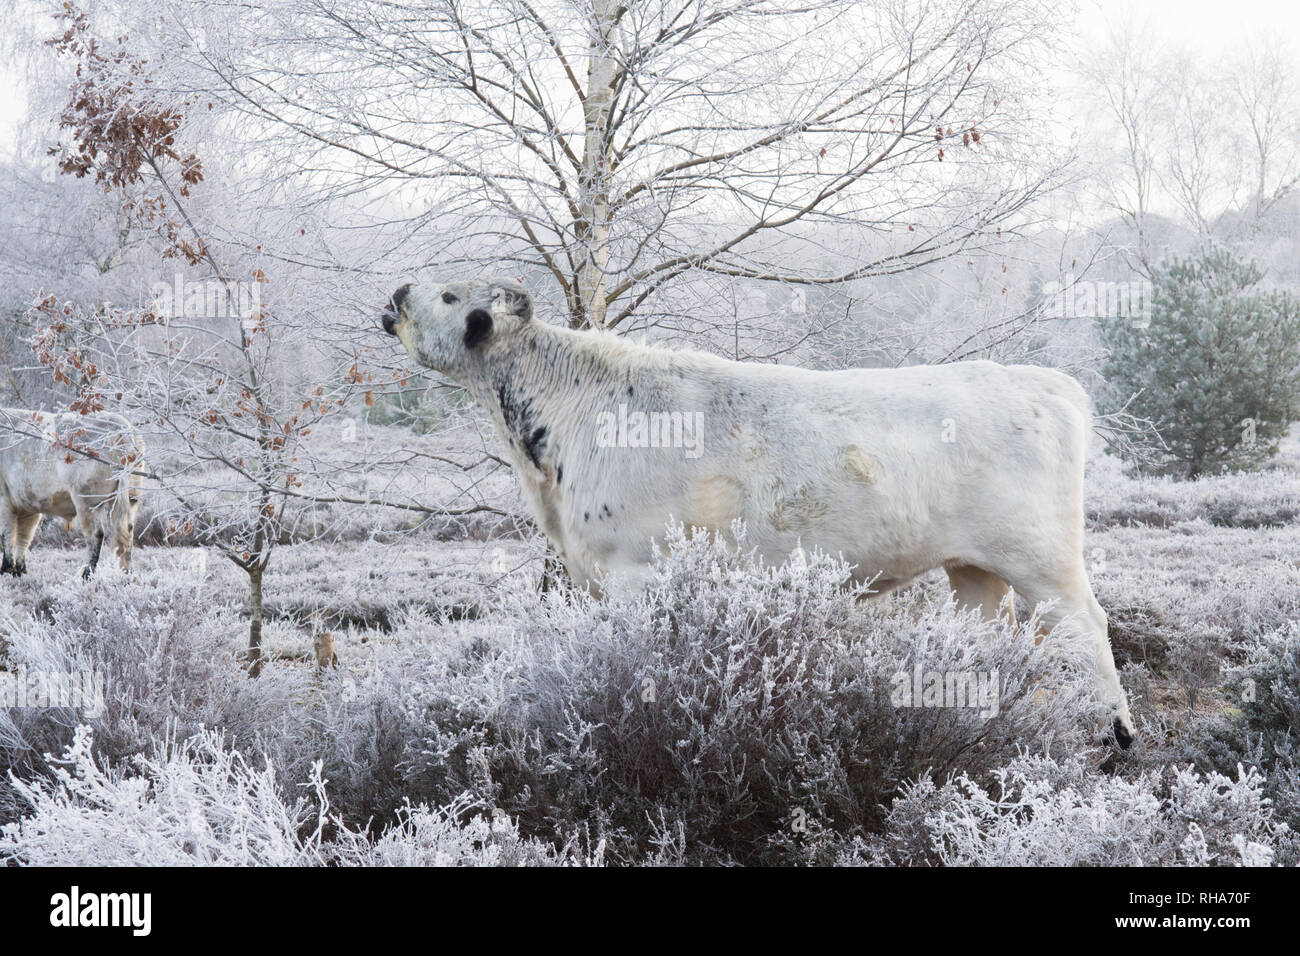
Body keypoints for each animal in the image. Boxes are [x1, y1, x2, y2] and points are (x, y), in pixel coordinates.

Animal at [0, 409, 145, 579]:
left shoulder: (4, 499)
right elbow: (24, 536)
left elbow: (7, 534)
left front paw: (6, 571)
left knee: (96, 534)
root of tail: (120, 424)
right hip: (130, 497)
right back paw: (127, 573)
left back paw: (87, 574)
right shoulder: (28, 504)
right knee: (126, 530)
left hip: (87, 500)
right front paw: (19, 571)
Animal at [380, 278, 1136, 748]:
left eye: (449, 294)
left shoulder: (632, 568)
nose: (395, 295)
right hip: (973, 567)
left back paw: (1113, 733)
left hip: (1042, 557)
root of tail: (1049, 381)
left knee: (1085, 626)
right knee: (983, 636)